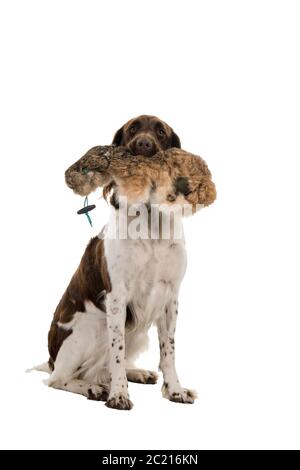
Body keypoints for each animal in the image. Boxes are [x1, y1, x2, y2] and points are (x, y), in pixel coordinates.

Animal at [33, 115, 197, 410]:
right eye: (132, 129)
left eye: (160, 132)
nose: (143, 144)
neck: (149, 222)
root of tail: (50, 359)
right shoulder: (117, 295)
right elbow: (116, 351)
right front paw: (119, 395)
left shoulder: (170, 297)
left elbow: (168, 350)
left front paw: (176, 390)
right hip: (93, 326)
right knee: (60, 378)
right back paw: (94, 388)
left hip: (138, 331)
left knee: (98, 369)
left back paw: (136, 373)